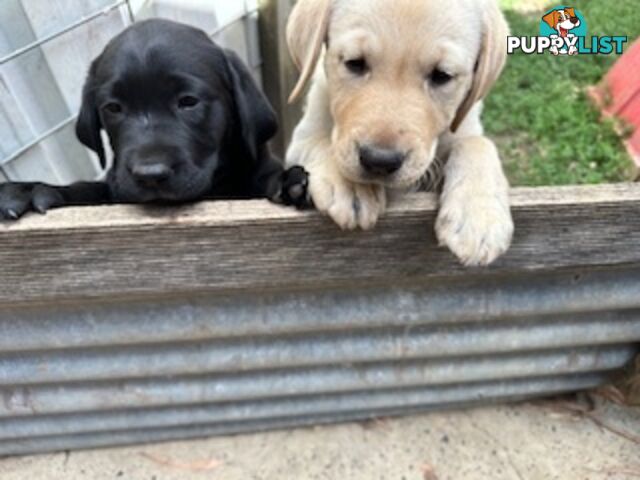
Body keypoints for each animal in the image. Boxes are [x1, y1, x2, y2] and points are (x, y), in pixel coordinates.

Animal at [0, 19, 308, 219]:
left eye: (188, 102)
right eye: (113, 107)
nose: (150, 175)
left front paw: (288, 181)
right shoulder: (115, 188)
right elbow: (89, 189)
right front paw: (29, 191)